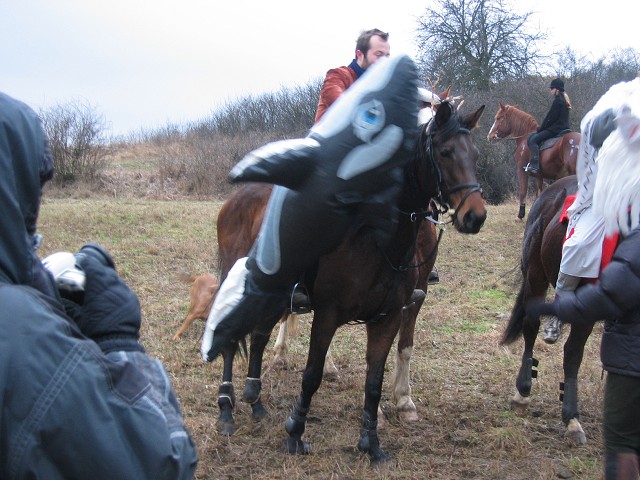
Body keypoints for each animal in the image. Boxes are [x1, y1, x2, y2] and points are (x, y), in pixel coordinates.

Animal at [212, 100, 488, 462]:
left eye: (476, 154)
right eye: (444, 152)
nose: (475, 216)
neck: (377, 239)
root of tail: (237, 199)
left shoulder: (389, 317)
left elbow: (375, 381)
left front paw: (372, 444)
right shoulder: (327, 315)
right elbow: (311, 375)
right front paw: (295, 434)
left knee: (258, 338)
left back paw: (255, 403)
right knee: (233, 340)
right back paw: (226, 410)